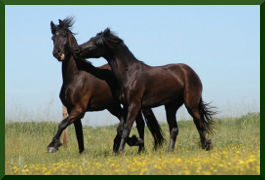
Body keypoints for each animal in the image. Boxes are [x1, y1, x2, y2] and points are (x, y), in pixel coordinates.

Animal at [47, 17, 163, 153]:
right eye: (53, 38)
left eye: (64, 35)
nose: (57, 53)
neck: (75, 76)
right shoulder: (72, 110)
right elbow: (78, 133)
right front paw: (81, 154)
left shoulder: (79, 109)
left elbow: (62, 124)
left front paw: (53, 145)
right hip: (113, 106)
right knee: (128, 122)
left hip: (128, 104)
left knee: (138, 123)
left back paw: (137, 147)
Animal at [75, 27, 214, 153]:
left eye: (96, 42)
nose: (77, 50)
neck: (130, 74)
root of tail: (190, 72)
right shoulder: (127, 105)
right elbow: (122, 129)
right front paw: (136, 141)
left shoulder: (134, 105)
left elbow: (126, 129)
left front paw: (121, 150)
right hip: (171, 106)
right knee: (174, 129)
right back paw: (170, 150)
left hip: (191, 104)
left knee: (199, 123)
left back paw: (205, 146)